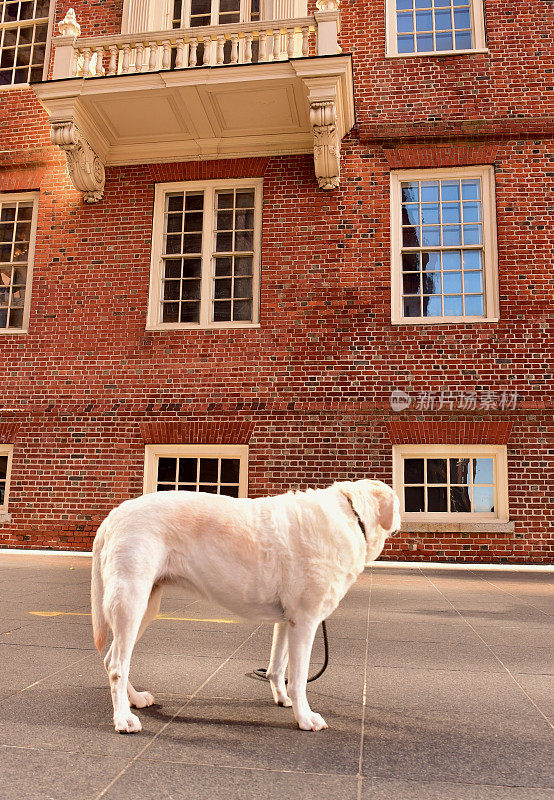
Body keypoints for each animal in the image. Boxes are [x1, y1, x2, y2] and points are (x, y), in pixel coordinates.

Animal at [92, 478, 398, 736]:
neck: (352, 517)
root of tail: (114, 514)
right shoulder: (306, 620)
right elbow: (299, 679)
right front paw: (305, 718)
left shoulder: (288, 621)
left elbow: (278, 667)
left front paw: (282, 698)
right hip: (131, 598)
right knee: (118, 665)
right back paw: (123, 719)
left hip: (147, 604)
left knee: (112, 659)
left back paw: (135, 700)